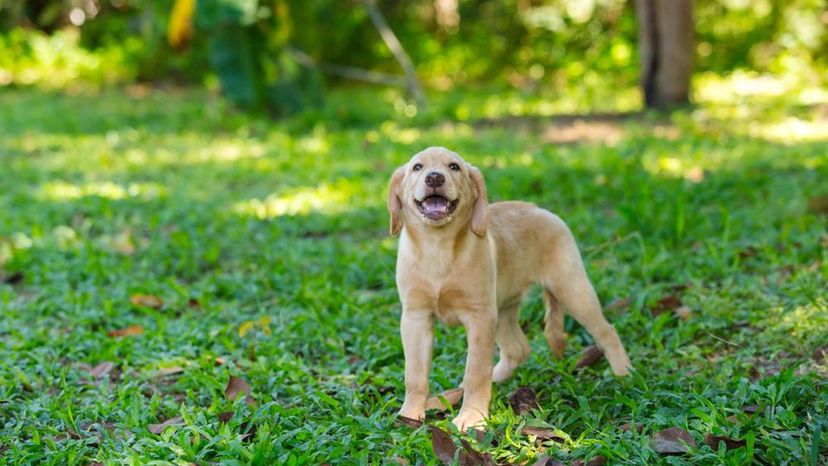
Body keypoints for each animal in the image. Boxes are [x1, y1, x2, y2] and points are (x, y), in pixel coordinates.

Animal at [392, 146, 632, 430]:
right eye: (417, 167)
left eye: (454, 167)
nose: (435, 178)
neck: (436, 247)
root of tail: (541, 209)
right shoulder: (415, 317)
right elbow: (414, 373)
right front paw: (410, 414)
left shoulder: (480, 317)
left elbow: (476, 371)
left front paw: (472, 416)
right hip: (503, 308)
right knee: (518, 349)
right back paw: (486, 381)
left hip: (571, 288)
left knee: (606, 331)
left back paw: (624, 373)